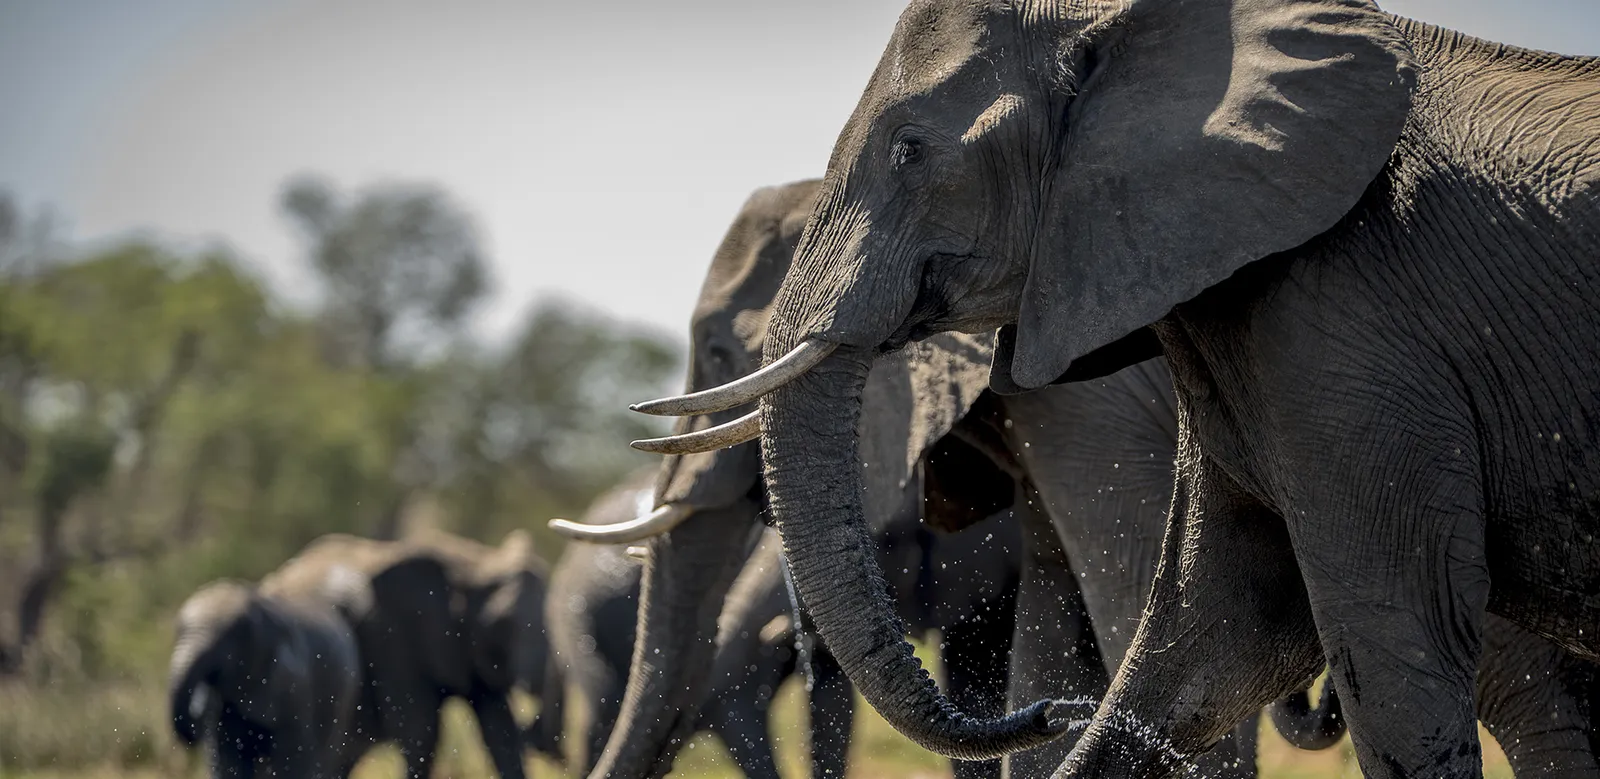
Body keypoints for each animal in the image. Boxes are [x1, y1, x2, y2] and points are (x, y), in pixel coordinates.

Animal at [168, 577, 362, 778]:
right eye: (178, 630)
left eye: (232, 635)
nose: (194, 728)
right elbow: (227, 759)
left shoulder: (292, 683)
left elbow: (293, 756)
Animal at [635, 2, 1600, 777]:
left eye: (910, 150)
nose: (1045, 719)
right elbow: (1192, 640)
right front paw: (1065, 706)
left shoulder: (1345, 324)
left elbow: (1383, 638)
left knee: (1525, 695)